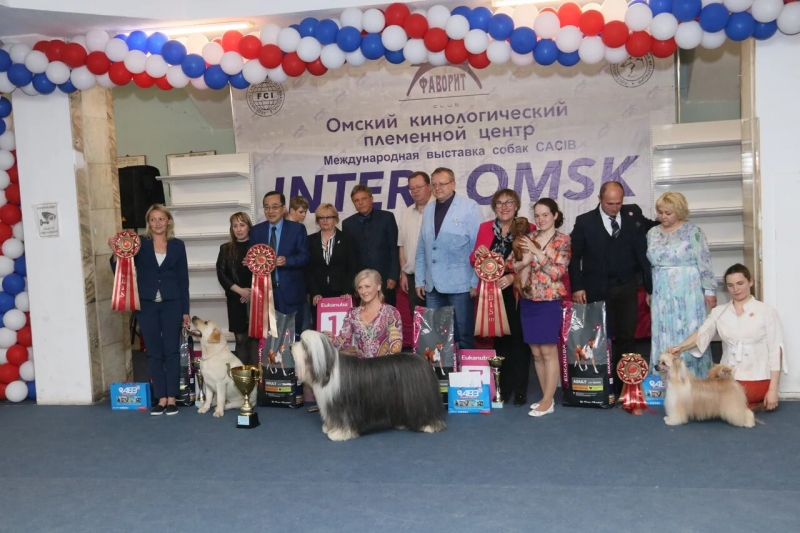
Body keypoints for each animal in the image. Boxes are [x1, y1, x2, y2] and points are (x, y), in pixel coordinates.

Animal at [291, 330, 447, 441]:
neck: (327, 369)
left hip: (419, 399)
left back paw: (428, 426)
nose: (290, 346)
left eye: (303, 344)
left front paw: (337, 434)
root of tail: (423, 361)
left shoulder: (341, 406)